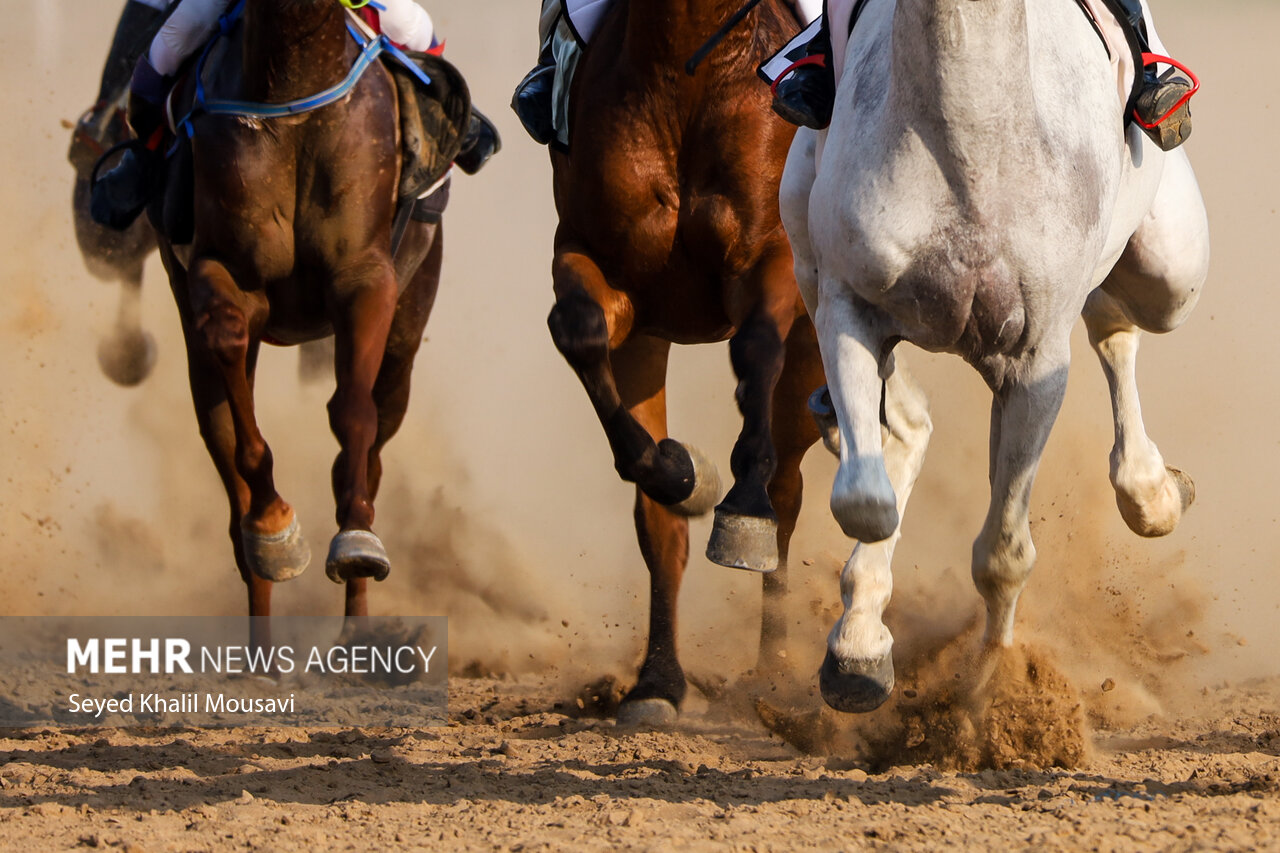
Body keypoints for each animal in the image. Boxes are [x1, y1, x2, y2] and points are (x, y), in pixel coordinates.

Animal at [151, 0, 450, 648]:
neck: (292, 88)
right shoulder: (220, 268)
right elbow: (229, 348)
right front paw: (274, 528)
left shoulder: (366, 275)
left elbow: (353, 411)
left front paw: (357, 540)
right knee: (227, 463)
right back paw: (262, 638)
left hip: (409, 325)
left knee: (376, 439)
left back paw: (357, 628)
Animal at [545, 0, 824, 722]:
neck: (685, 71)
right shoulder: (614, 279)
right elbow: (578, 331)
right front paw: (682, 471)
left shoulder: (772, 259)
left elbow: (754, 346)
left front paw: (741, 505)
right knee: (661, 529)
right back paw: (659, 680)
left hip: (812, 346)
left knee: (789, 486)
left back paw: (774, 668)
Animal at [778, 0, 1208, 712]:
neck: (972, 136)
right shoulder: (847, 308)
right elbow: (866, 500)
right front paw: (859, 654)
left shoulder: (1035, 364)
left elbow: (1003, 553)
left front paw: (994, 685)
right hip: (806, 256)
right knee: (900, 422)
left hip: (1172, 270)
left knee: (1118, 323)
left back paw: (1152, 493)